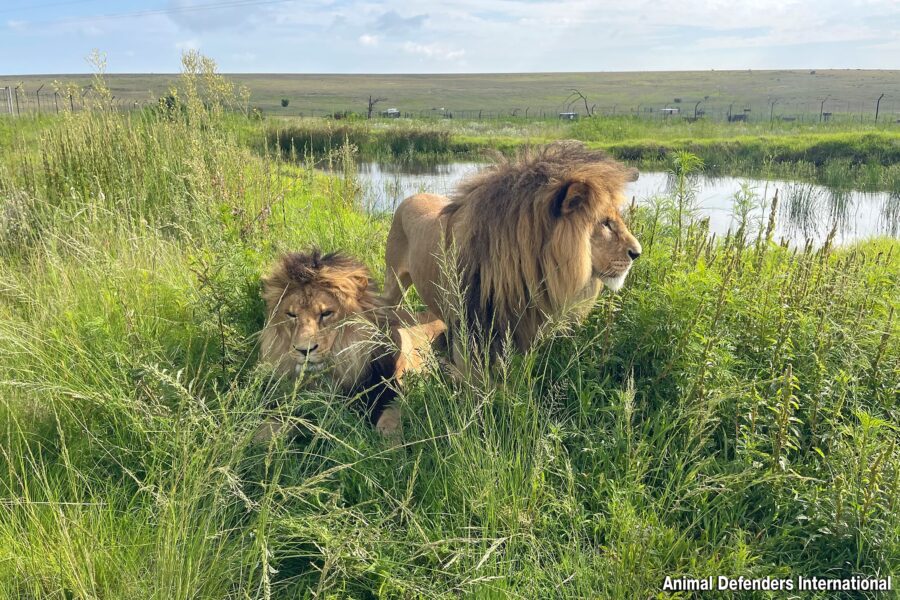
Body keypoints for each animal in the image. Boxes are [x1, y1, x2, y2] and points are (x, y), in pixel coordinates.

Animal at [256, 248, 446, 436]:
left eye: (326, 313)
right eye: (291, 315)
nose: (304, 350)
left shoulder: (393, 393)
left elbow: (389, 422)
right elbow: (267, 427)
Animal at [384, 143, 644, 364]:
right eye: (605, 223)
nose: (637, 253)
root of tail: (412, 196)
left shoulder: (520, 334)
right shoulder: (469, 331)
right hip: (393, 285)